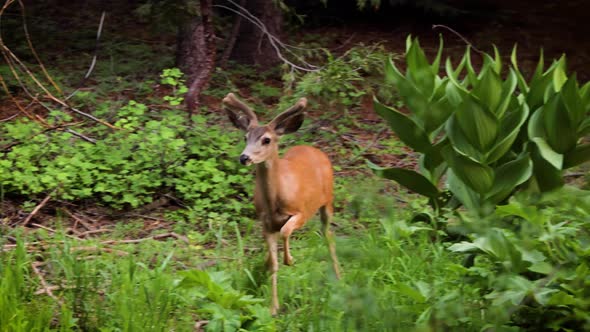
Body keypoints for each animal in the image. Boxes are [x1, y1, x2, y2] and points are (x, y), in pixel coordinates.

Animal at [222, 92, 342, 314]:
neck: (274, 202)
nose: (244, 157)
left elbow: (286, 232)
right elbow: (274, 263)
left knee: (328, 235)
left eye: (266, 139)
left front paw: (290, 260)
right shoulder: (266, 223)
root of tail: (314, 149)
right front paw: (273, 307)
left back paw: (339, 277)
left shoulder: (301, 212)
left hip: (327, 201)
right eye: (245, 137)